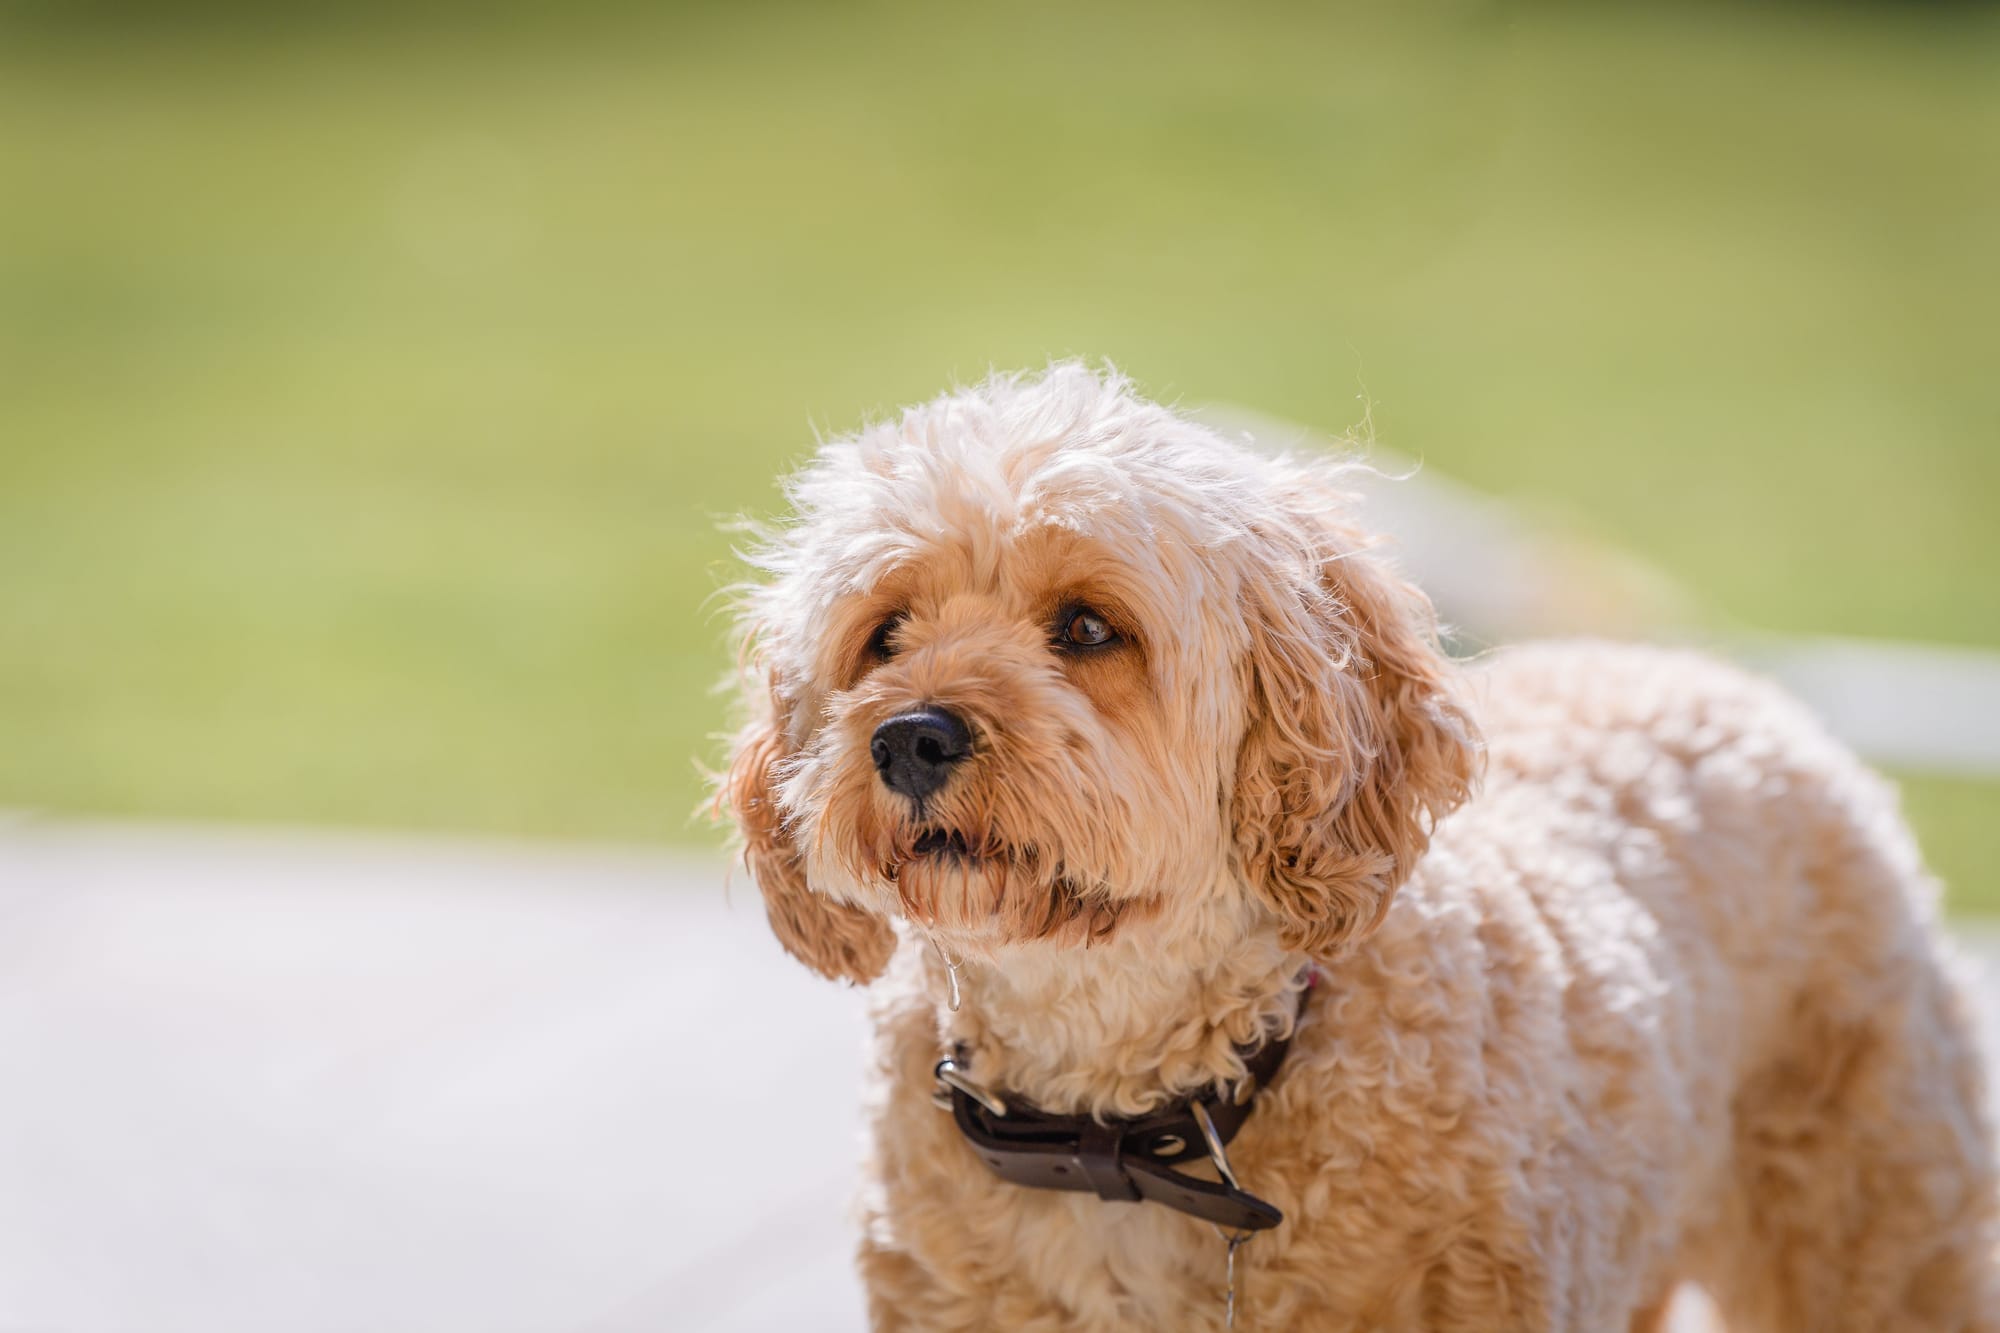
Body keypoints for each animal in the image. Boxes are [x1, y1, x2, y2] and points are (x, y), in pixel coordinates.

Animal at [712, 364, 1992, 1328]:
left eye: (1086, 626)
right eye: (883, 634)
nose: (910, 737)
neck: (1113, 1113)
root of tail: (1708, 677)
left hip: (1880, 1222)